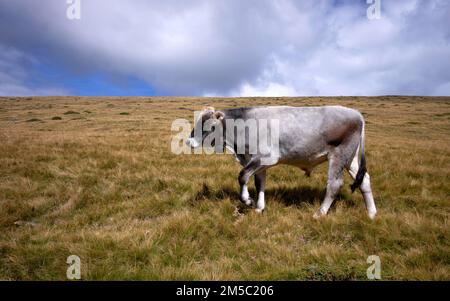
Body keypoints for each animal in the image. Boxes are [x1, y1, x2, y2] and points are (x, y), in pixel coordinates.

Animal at [185, 105, 378, 218]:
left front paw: (248, 201)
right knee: (364, 181)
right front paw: (259, 208)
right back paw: (371, 213)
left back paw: (320, 213)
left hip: (339, 155)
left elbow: (242, 176)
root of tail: (357, 114)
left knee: (334, 184)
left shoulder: (265, 157)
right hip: (351, 158)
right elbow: (259, 184)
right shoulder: (258, 162)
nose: (189, 142)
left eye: (209, 126)